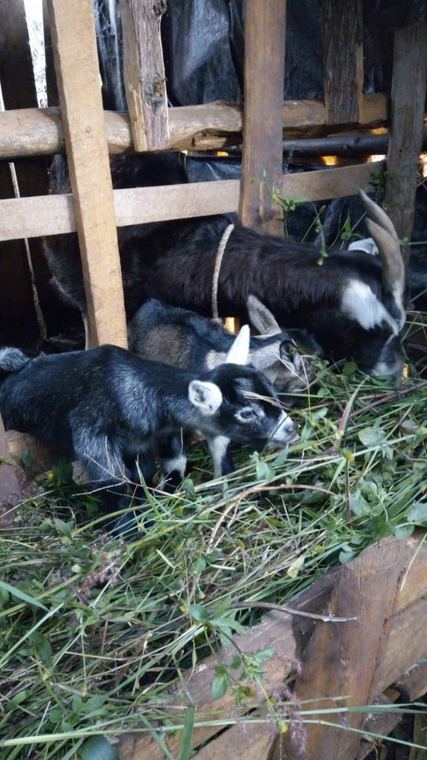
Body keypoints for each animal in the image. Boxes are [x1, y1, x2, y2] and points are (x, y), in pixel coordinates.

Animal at [0, 329, 296, 509]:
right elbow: (112, 481)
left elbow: (171, 464)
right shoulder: (92, 433)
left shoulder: (161, 435)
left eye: (272, 391)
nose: (291, 430)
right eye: (246, 413)